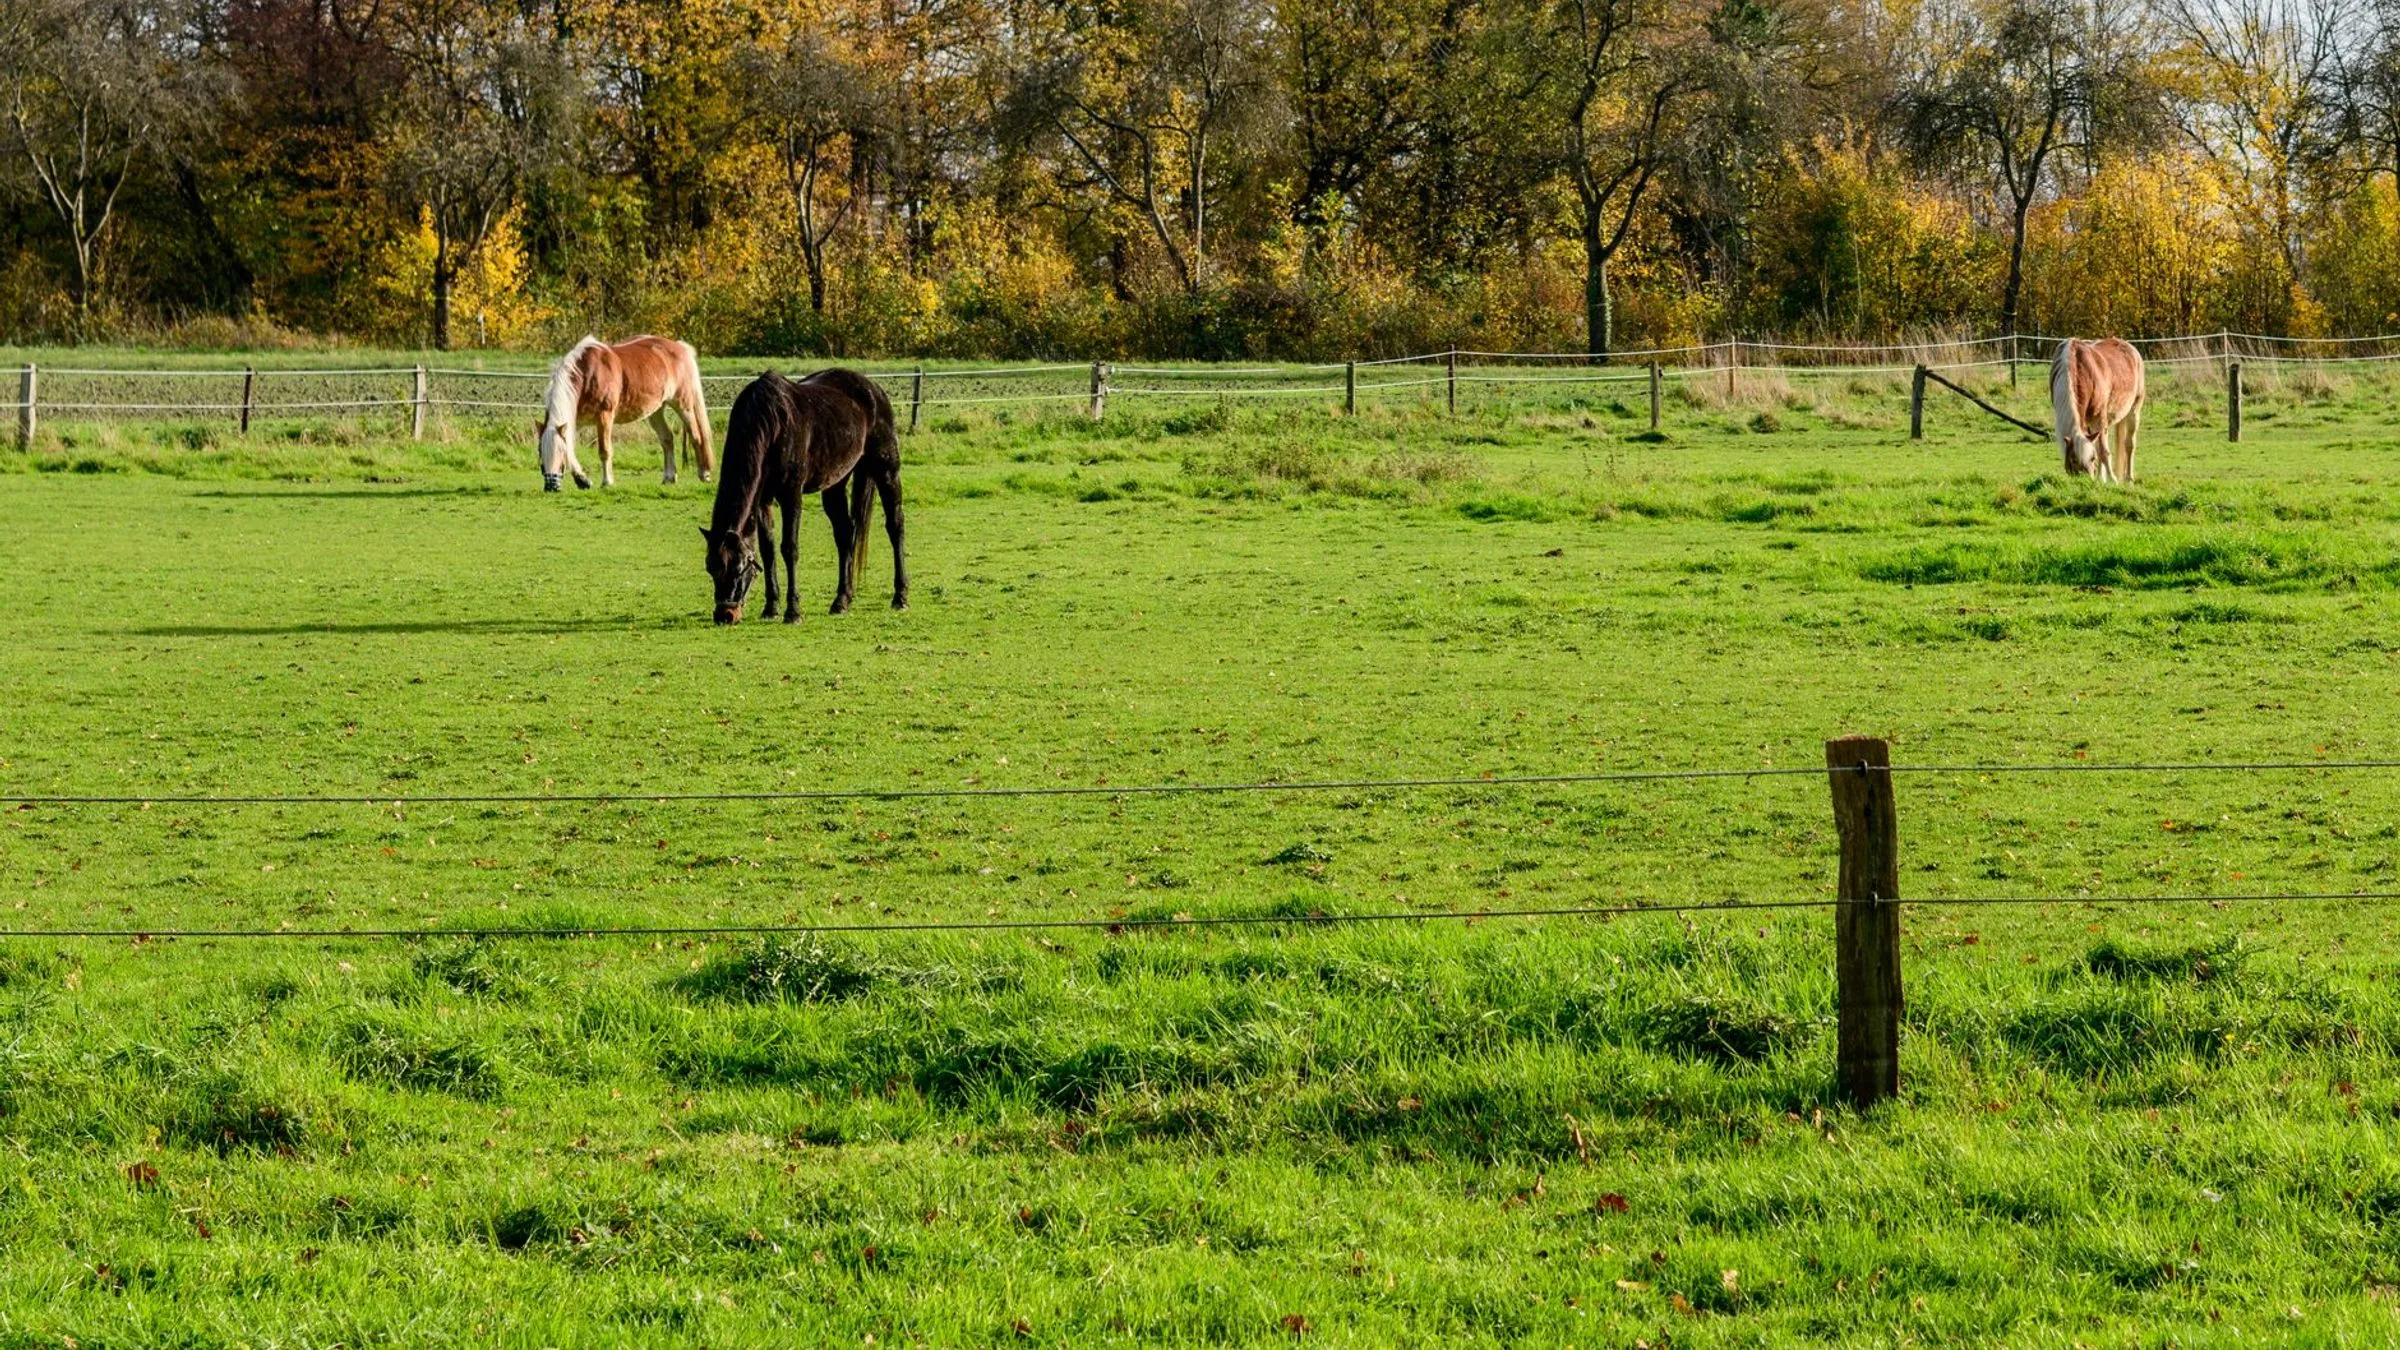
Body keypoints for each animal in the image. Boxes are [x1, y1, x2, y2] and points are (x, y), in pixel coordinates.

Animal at [534, 335, 716, 491]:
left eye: (559, 454)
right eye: (540, 452)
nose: (551, 487)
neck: (588, 373)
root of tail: (680, 347)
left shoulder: (605, 416)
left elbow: (604, 450)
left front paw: (607, 482)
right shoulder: (574, 421)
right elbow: (571, 449)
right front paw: (583, 480)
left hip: (683, 405)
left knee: (696, 436)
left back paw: (704, 474)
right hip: (656, 410)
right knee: (667, 439)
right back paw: (669, 477)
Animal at [701, 368, 907, 625]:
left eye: (738, 568)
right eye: (710, 568)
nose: (725, 615)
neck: (771, 425)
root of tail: (873, 388)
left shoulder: (791, 495)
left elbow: (790, 549)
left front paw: (793, 611)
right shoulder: (763, 500)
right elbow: (768, 550)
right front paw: (771, 607)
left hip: (887, 470)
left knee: (895, 525)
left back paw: (900, 596)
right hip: (835, 483)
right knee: (845, 533)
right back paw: (842, 600)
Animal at [2050, 338, 2145, 483]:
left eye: (2092, 458)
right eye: (2073, 460)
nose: (2085, 481)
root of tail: (2131, 348)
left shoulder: (2098, 418)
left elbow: (2103, 452)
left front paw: (2113, 480)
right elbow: (2099, 448)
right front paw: (2103, 480)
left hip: (2133, 411)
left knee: (2129, 445)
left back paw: (2128, 479)